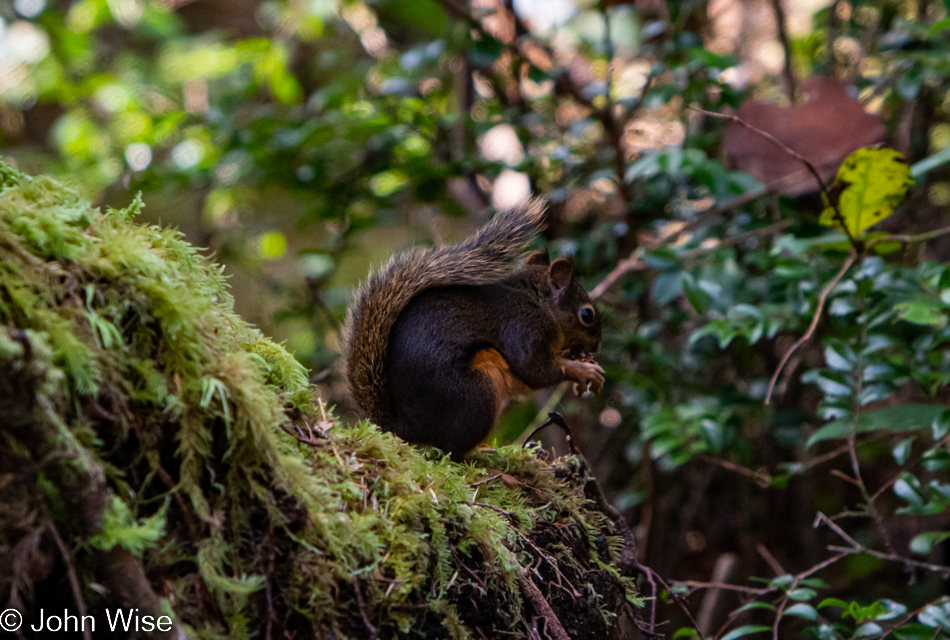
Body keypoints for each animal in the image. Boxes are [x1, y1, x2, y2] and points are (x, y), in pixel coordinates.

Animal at [342, 198, 608, 458]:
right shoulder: (524, 328)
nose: (597, 345)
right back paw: (483, 454)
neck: (538, 302)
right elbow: (534, 369)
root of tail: (404, 428)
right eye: (587, 314)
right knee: (452, 451)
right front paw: (583, 370)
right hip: (479, 392)